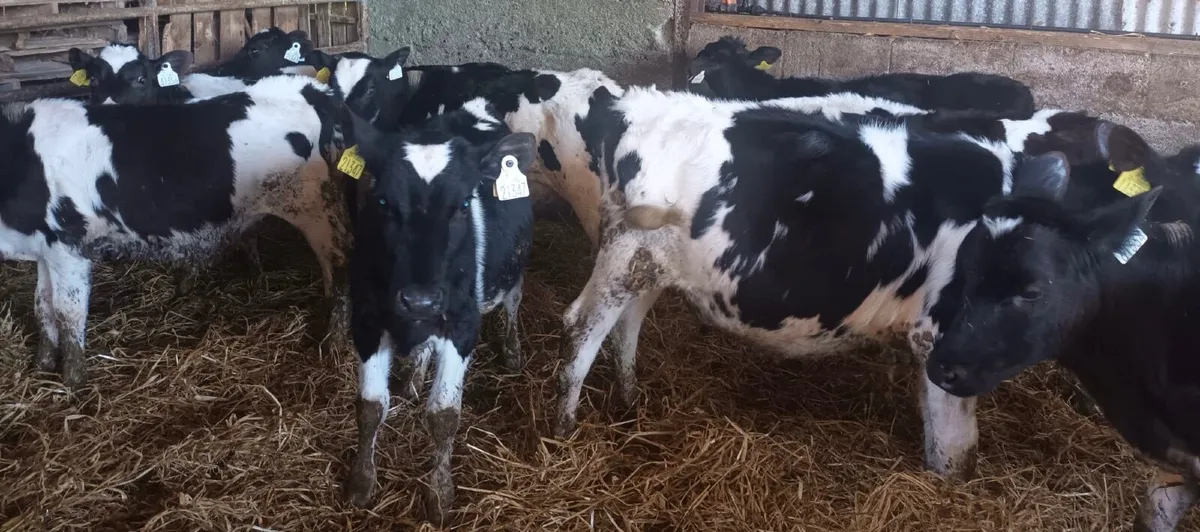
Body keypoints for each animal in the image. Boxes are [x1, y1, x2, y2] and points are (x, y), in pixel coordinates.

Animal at [0, 74, 348, 390]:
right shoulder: (45, 250)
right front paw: (42, 364)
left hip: (317, 212)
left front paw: (72, 381)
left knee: (338, 268)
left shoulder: (69, 244)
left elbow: (67, 312)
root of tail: (307, 89)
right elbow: (42, 306)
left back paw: (334, 339)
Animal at [340, 105, 535, 525]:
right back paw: (413, 380)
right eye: (383, 202)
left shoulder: (462, 327)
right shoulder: (365, 320)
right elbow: (370, 407)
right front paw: (361, 482)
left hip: (514, 268)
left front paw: (440, 493)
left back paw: (512, 349)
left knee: (513, 303)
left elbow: (444, 416)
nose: (421, 300)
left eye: (463, 205)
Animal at [549, 83, 1120, 483]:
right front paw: (951, 483)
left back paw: (629, 401)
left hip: (650, 262)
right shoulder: (941, 335)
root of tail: (632, 103)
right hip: (624, 253)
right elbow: (955, 440)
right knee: (582, 327)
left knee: (627, 325)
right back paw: (564, 431)